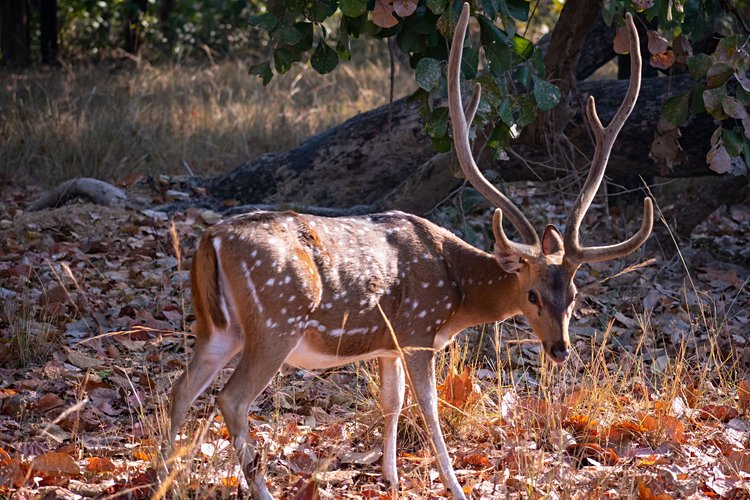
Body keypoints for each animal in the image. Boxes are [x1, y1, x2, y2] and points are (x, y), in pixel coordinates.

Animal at [169, 4, 652, 500]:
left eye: (573, 297)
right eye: (532, 294)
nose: (559, 349)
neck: (457, 293)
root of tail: (209, 241)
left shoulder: (388, 342)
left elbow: (392, 402)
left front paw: (391, 477)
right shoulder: (420, 330)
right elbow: (430, 407)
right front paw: (454, 486)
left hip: (218, 326)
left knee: (181, 389)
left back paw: (168, 477)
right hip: (276, 321)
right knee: (231, 398)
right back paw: (254, 486)